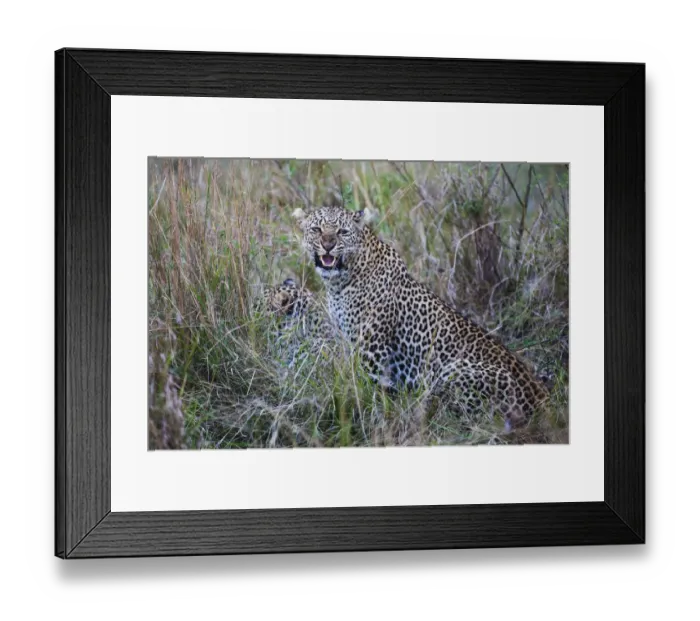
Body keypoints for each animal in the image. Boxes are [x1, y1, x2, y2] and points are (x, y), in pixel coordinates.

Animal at [292, 205, 550, 428]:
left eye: (342, 232)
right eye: (317, 230)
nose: (328, 245)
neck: (340, 282)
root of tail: (542, 402)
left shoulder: (372, 348)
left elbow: (372, 387)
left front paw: (373, 413)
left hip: (454, 371)